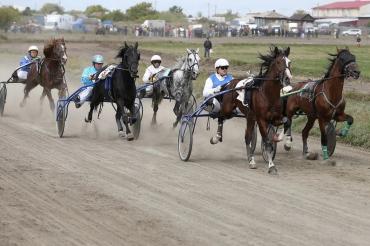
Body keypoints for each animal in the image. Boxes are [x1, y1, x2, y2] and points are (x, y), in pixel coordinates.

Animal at [215, 46, 290, 175]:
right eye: (278, 62)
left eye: (289, 62)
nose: (287, 78)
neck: (268, 94)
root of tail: (229, 83)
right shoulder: (261, 120)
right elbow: (267, 142)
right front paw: (271, 166)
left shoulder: (276, 117)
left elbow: (285, 122)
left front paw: (279, 138)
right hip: (228, 110)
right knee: (220, 117)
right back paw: (216, 137)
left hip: (250, 117)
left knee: (247, 137)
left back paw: (251, 161)